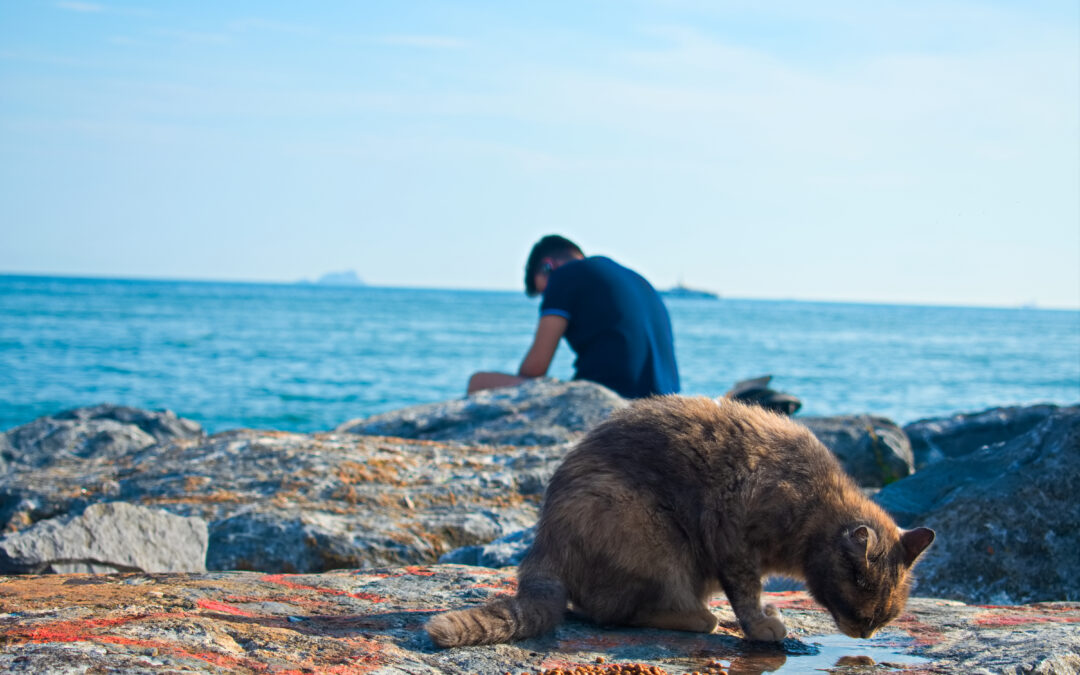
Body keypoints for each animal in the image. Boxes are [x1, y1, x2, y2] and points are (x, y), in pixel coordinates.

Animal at [425, 397, 933, 643]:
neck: (816, 502)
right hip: (647, 528)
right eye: (864, 610)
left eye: (886, 616)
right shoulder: (734, 538)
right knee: (617, 612)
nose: (865, 633)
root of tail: (540, 545)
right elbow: (747, 592)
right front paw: (760, 625)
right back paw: (704, 618)